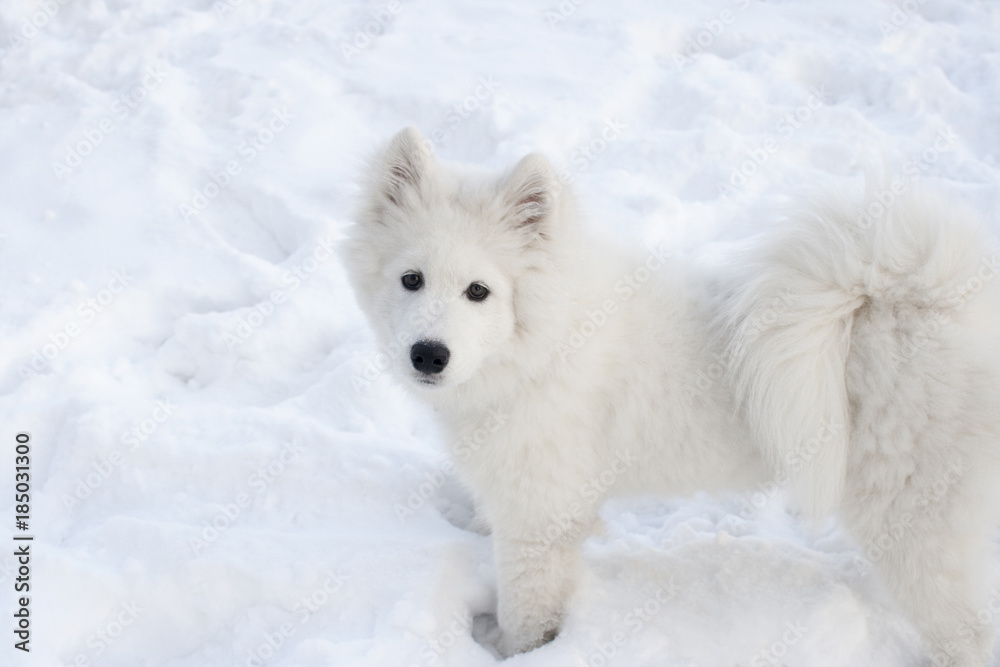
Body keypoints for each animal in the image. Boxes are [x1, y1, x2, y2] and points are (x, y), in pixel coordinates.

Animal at [344, 126, 1000, 667]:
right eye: (411, 279)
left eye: (479, 291)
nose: (428, 355)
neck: (547, 340)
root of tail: (938, 302)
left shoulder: (540, 521)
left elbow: (528, 613)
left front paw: (513, 652)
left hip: (915, 522)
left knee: (966, 630)